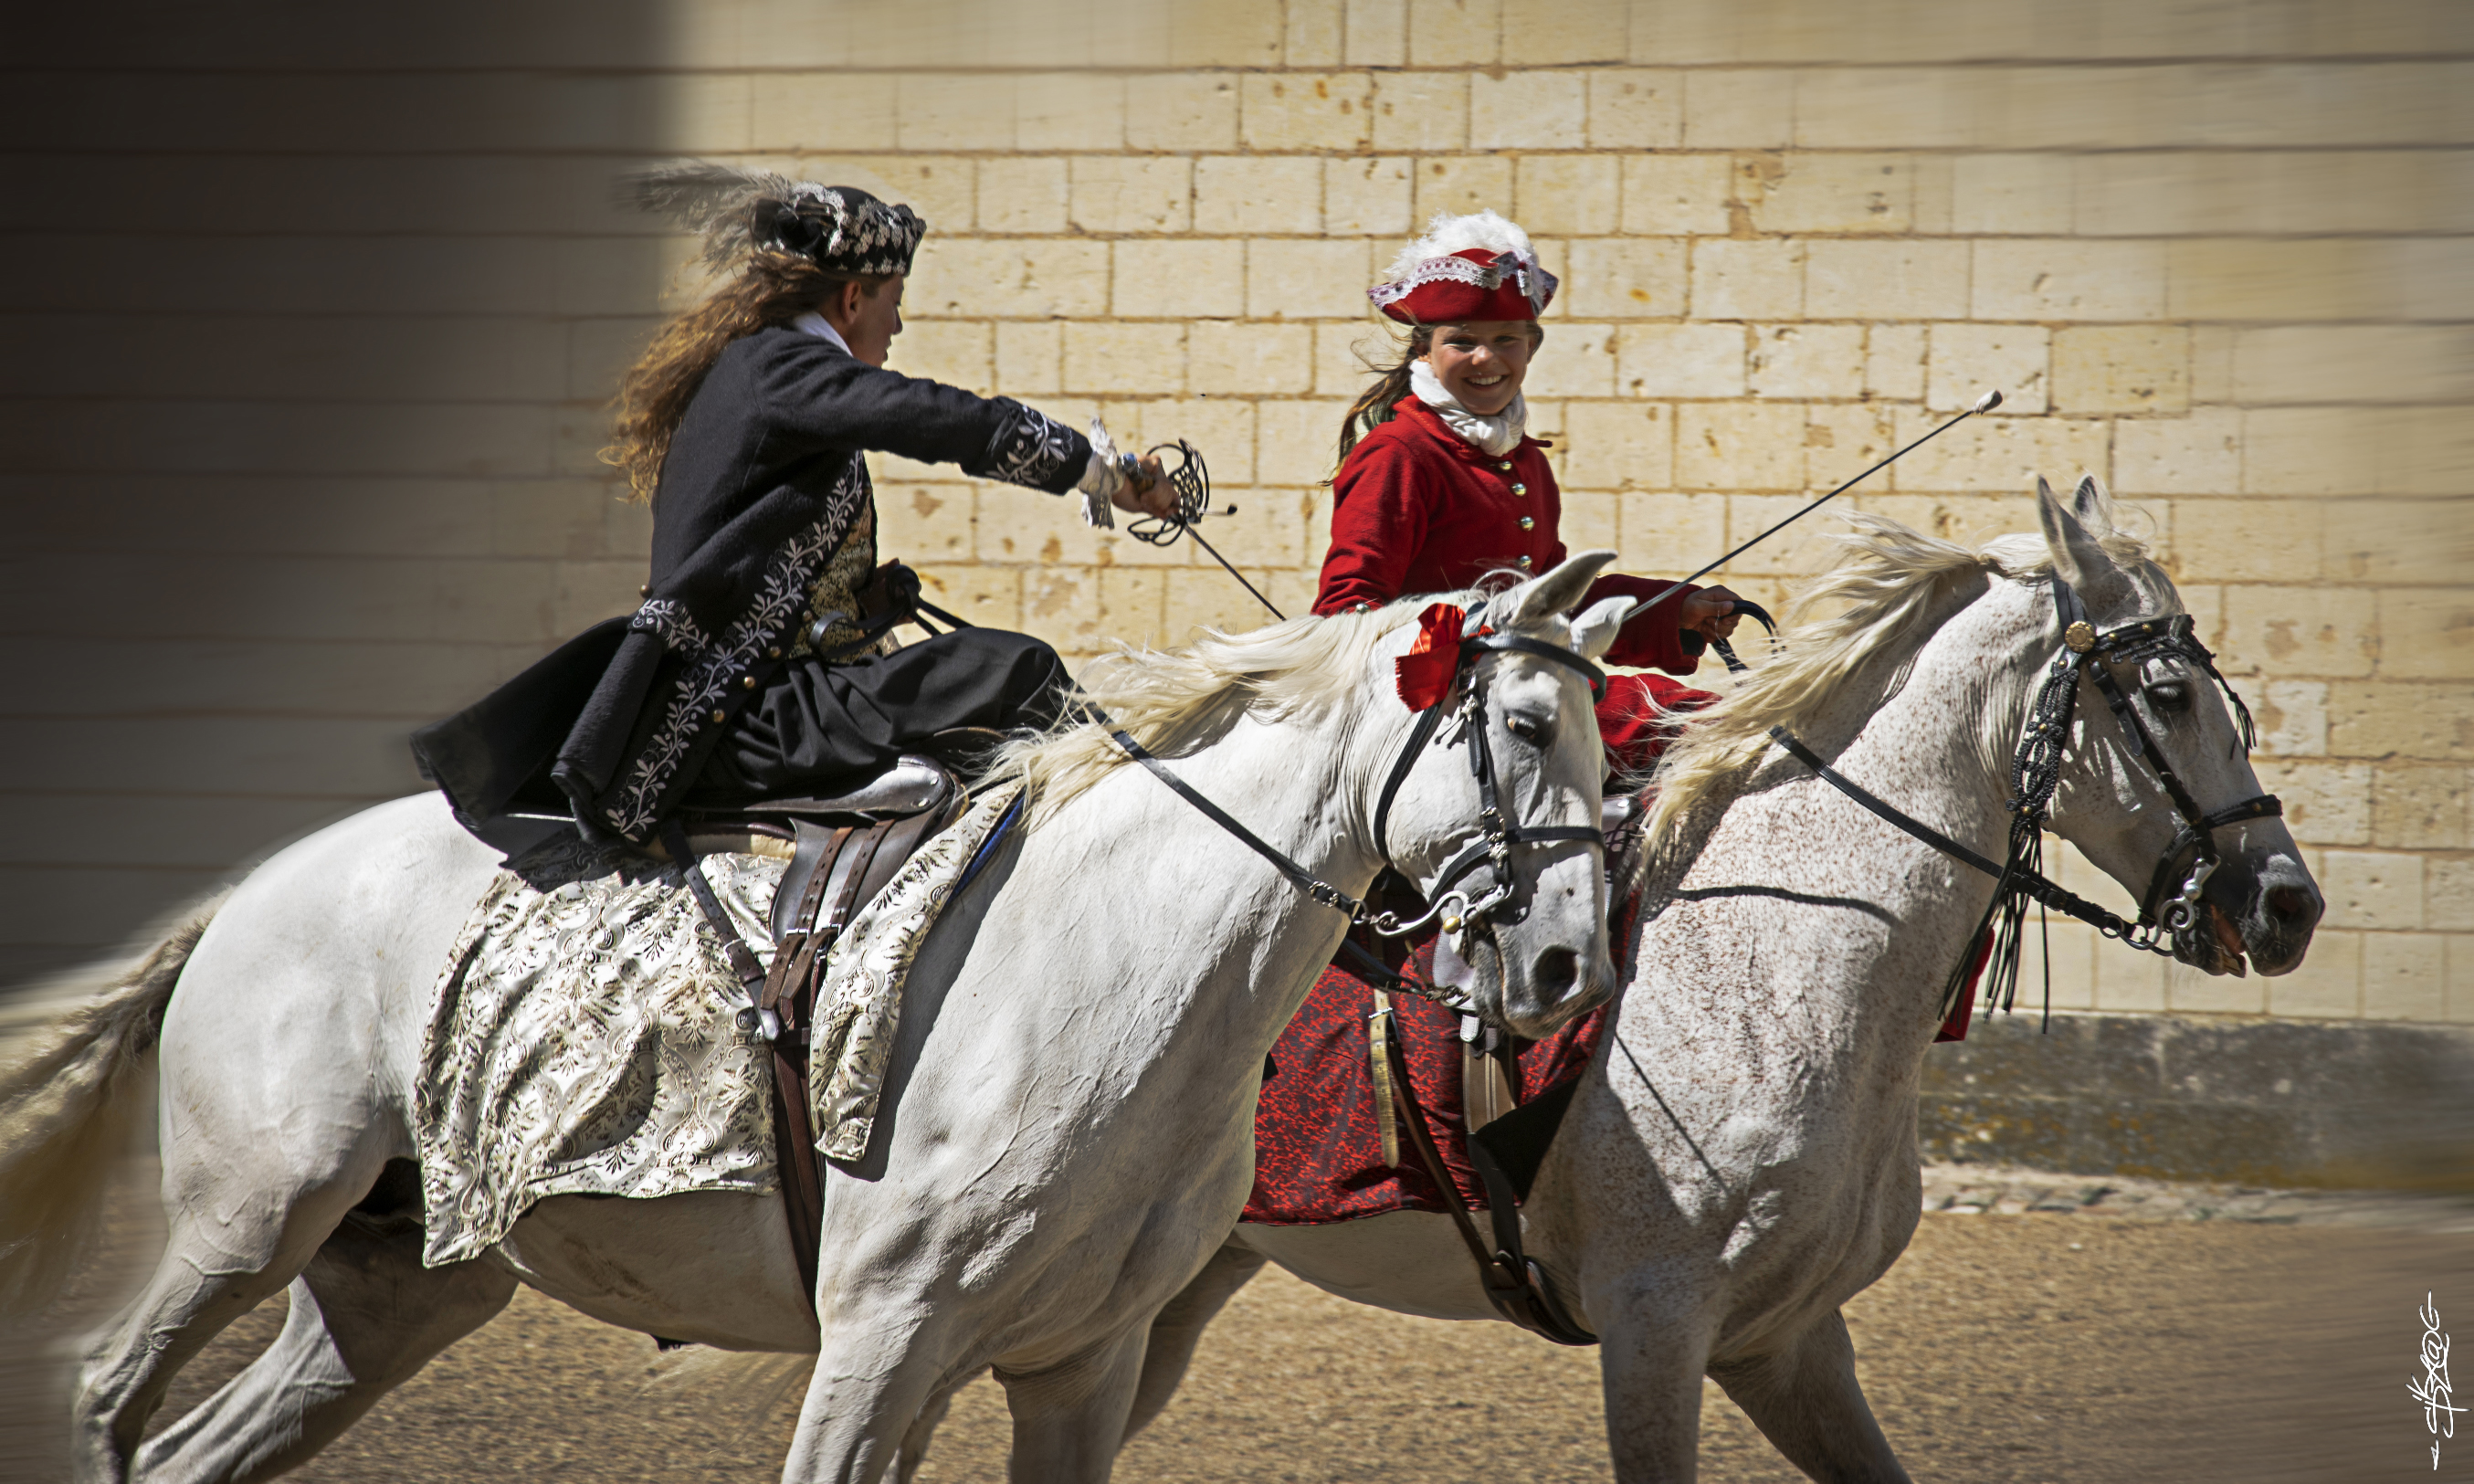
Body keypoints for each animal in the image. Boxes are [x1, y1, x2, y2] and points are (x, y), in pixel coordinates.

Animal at [5, 551, 1642, 1474]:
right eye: (1519, 724)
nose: (1571, 966)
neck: (1111, 972)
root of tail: (248, 895)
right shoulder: (880, 1342)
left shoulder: (1081, 1365)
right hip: (249, 1218)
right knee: (103, 1393)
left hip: (393, 1288)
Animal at [1103, 487, 2315, 1484]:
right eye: (2169, 691)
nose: (2287, 902)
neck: (1784, 966)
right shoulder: (1656, 1328)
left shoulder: (1785, 1342)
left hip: (1170, 1293)